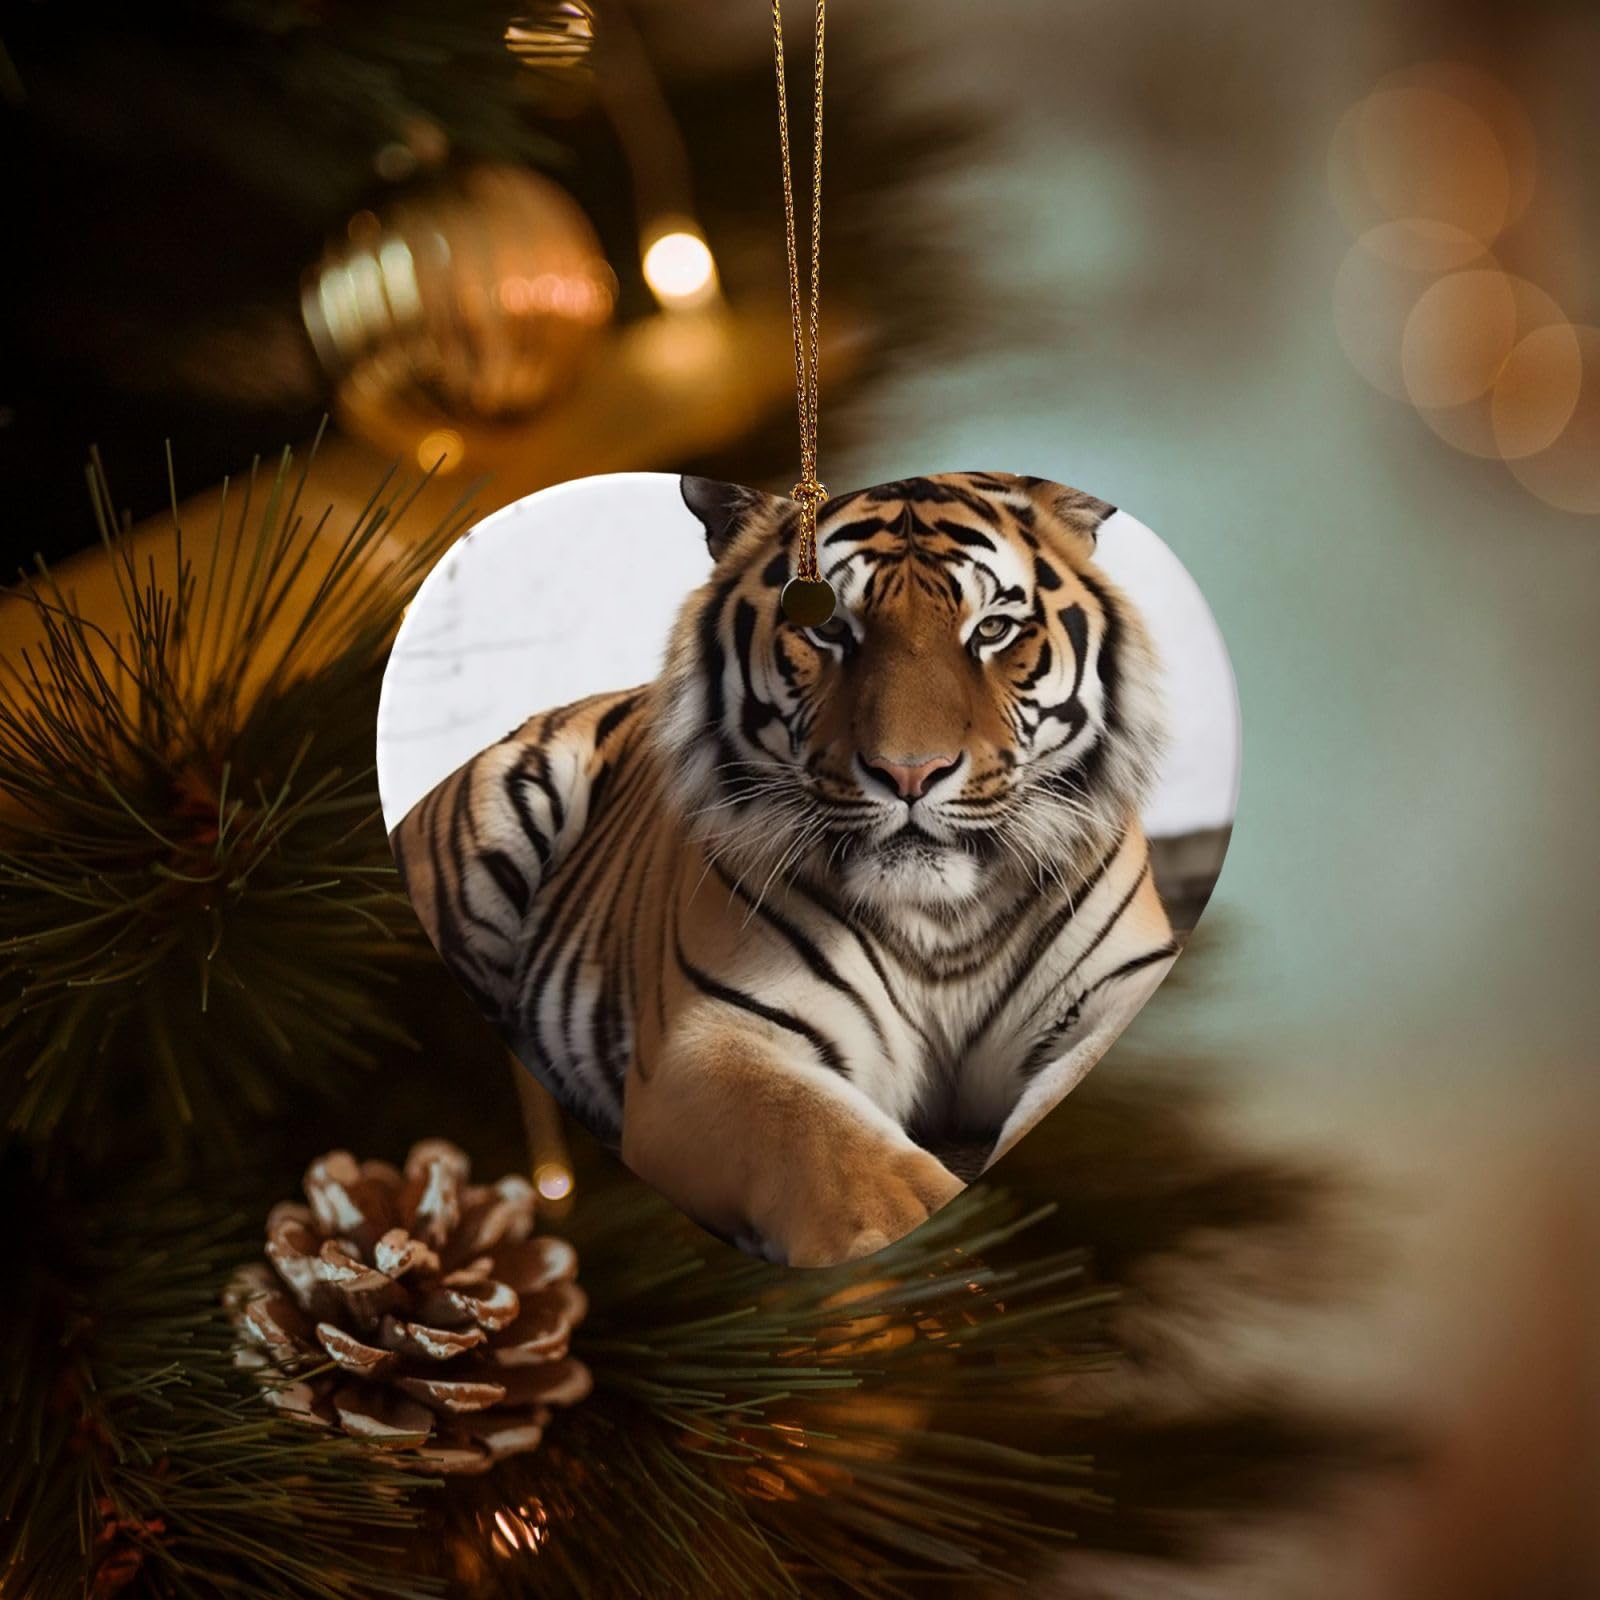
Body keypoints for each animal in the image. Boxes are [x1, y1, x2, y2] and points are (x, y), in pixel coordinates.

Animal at [391, 471, 1176, 1267]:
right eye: (829, 630)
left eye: (992, 631)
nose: (910, 773)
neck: (942, 921)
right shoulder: (713, 1038)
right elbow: (829, 1144)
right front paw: (918, 1237)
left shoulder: (1120, 993)